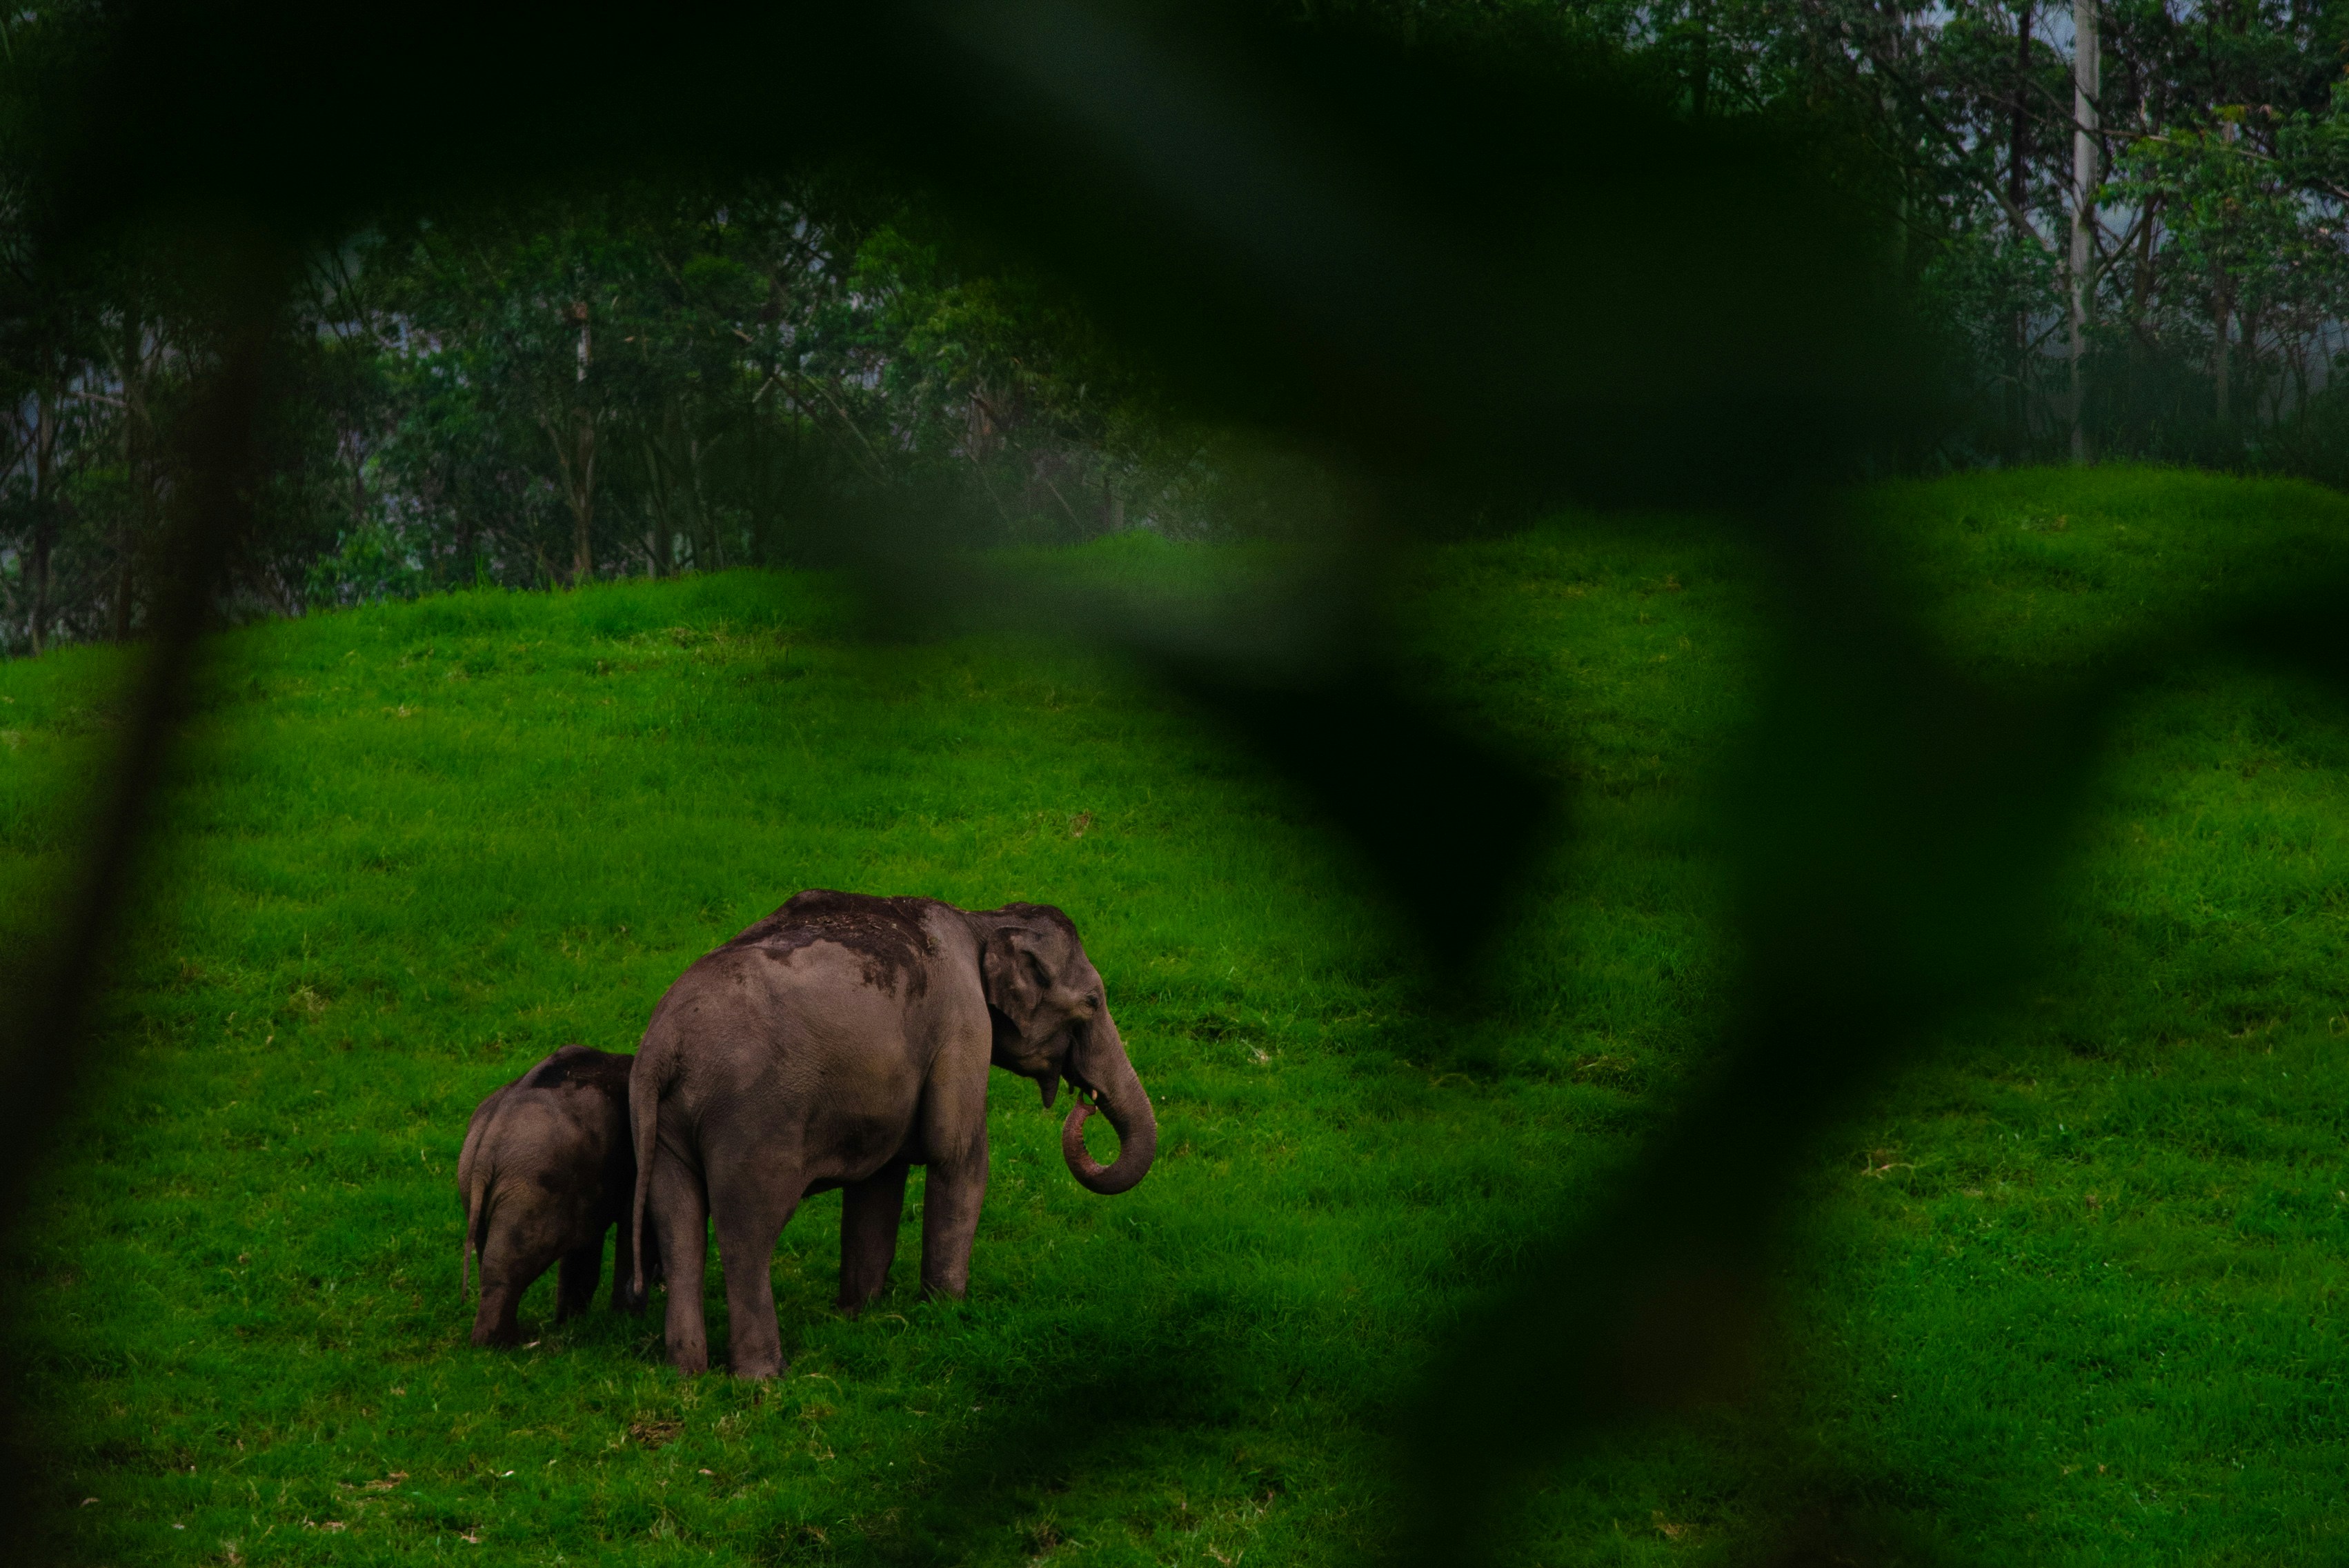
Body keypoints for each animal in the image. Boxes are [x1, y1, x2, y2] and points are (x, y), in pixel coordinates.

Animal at [458, 1043, 659, 1346]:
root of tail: (488, 1143)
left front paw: (570, 1324)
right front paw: (627, 1323)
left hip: (474, 1185)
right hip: (533, 1188)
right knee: (514, 1259)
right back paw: (502, 1344)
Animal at [628, 889, 1157, 1377]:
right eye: (1093, 1001)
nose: (1085, 1100)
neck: (981, 919)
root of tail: (665, 1044)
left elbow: (879, 1181)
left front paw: (859, 1316)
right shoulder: (963, 1025)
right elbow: (958, 1155)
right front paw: (946, 1312)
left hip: (660, 1123)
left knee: (678, 1227)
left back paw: (685, 1372)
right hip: (753, 1120)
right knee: (748, 1233)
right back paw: (765, 1376)